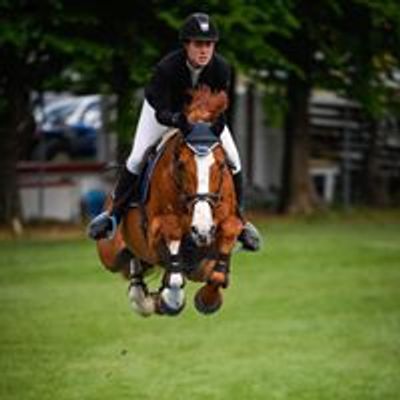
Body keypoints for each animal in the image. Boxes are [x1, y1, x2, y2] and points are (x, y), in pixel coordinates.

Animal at [96, 86, 244, 316]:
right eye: (181, 165)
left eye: (221, 165)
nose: (202, 231)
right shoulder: (158, 228)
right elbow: (171, 239)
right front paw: (171, 301)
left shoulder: (218, 235)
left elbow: (228, 236)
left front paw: (207, 301)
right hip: (109, 253)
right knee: (133, 266)